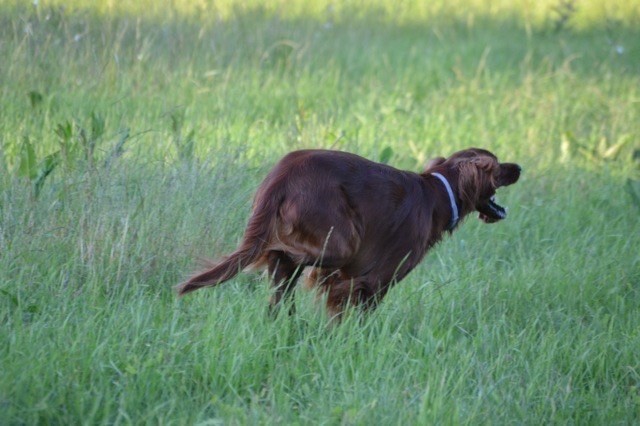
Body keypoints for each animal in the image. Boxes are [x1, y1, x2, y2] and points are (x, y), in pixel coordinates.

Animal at [176, 148, 520, 318]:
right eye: (499, 164)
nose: (519, 167)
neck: (436, 193)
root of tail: (282, 175)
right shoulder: (374, 280)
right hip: (341, 241)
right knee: (283, 255)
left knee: (280, 286)